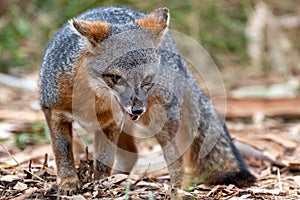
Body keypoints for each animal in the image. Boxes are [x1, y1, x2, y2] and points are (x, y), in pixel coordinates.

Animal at [39, 5, 255, 191]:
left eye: (147, 80)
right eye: (116, 78)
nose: (137, 109)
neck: (93, 99)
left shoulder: (111, 123)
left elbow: (103, 161)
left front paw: (99, 184)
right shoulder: (54, 112)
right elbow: (63, 153)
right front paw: (68, 182)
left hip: (161, 122)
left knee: (175, 159)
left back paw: (175, 188)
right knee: (132, 156)